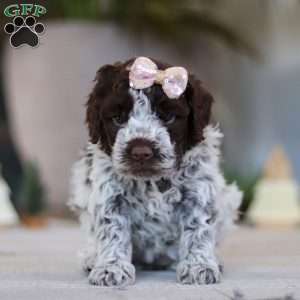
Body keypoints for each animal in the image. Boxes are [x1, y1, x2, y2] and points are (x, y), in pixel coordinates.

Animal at [69, 56, 243, 286]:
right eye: (117, 118)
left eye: (168, 117)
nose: (141, 152)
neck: (152, 181)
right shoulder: (110, 196)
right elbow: (112, 229)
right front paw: (111, 267)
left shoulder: (198, 191)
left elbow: (198, 229)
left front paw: (198, 265)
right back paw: (91, 257)